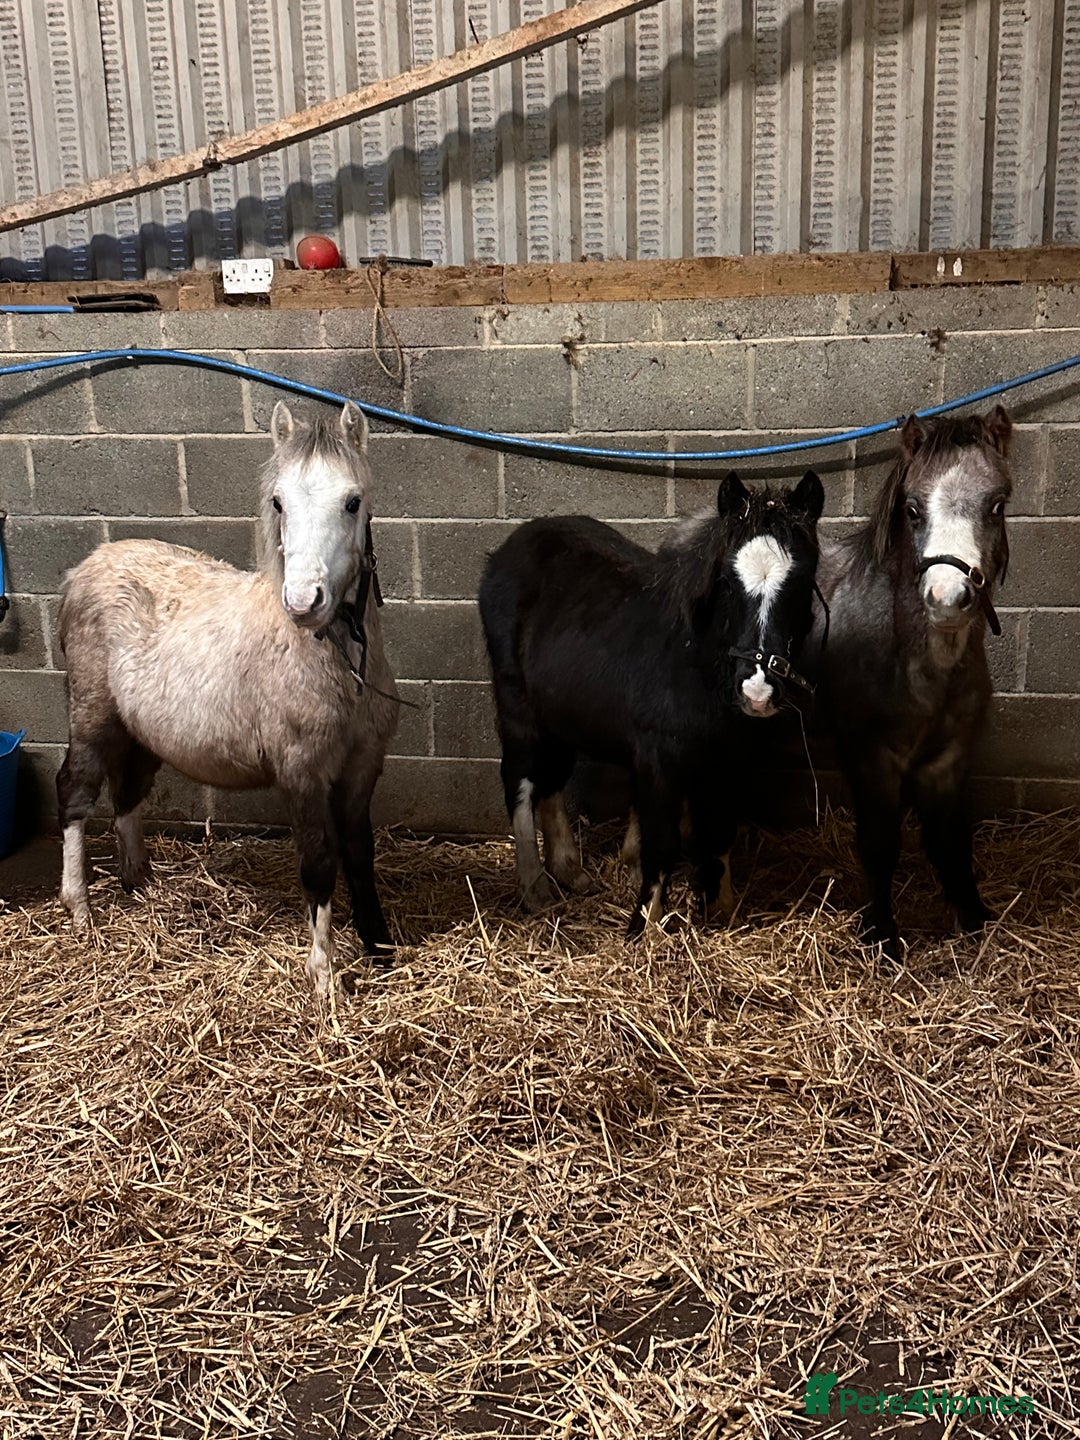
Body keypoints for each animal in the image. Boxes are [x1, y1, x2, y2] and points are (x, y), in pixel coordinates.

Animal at [56, 401, 399, 994]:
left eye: (352, 501)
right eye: (279, 502)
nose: (303, 602)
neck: (337, 663)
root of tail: (84, 569)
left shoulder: (361, 768)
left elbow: (360, 852)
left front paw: (377, 948)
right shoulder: (302, 773)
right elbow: (318, 862)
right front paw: (324, 977)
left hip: (141, 734)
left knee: (127, 795)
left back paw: (139, 882)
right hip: (92, 720)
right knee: (76, 794)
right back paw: (80, 909)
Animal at [479, 469, 825, 935]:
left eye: (802, 583)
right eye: (727, 583)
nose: (757, 692)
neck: (696, 665)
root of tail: (507, 551)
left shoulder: (727, 761)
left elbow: (718, 834)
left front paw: (722, 909)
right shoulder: (659, 760)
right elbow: (661, 842)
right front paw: (644, 926)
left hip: (560, 713)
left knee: (552, 780)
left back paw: (570, 872)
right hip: (518, 707)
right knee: (520, 780)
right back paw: (536, 888)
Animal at [809, 406, 1013, 961]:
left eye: (997, 504)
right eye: (913, 509)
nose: (947, 598)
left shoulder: (947, 761)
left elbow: (951, 842)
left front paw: (974, 922)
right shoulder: (872, 759)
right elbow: (880, 844)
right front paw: (881, 935)